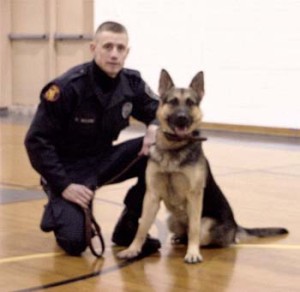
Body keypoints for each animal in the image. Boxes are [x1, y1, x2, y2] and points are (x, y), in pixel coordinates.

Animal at [118, 69, 288, 264]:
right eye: (173, 102)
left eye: (190, 103)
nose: (182, 118)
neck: (174, 147)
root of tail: (235, 225)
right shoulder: (151, 196)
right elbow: (142, 226)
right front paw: (133, 249)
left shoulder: (194, 196)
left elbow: (194, 229)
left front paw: (193, 253)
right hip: (171, 220)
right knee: (183, 232)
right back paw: (179, 239)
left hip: (207, 224)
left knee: (209, 236)